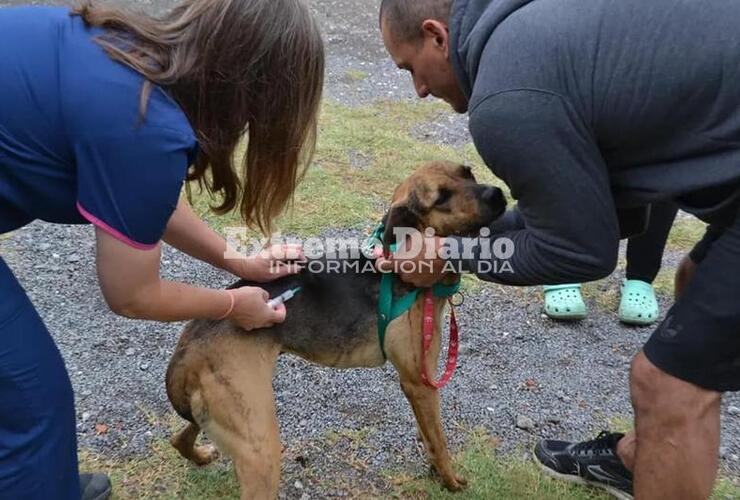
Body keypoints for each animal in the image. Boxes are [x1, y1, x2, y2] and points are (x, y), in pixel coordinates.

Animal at [165, 162, 506, 498]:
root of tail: (188, 347)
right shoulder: (419, 384)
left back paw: (200, 455)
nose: (499, 194)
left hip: (222, 418)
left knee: (179, 439)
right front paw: (450, 480)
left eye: (468, 172)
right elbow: (439, 442)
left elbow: (428, 436)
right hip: (258, 448)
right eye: (441, 197)